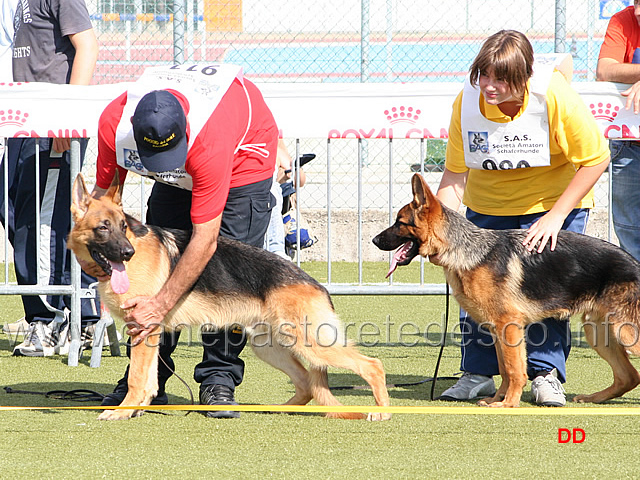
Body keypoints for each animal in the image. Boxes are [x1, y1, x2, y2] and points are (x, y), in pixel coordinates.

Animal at [66, 174, 390, 422]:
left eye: (123, 227)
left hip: (312, 345)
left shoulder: (145, 329)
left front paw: (123, 411)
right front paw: (136, 409)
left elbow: (137, 377)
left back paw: (383, 411)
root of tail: (316, 284)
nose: (127, 253)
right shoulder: (149, 335)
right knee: (307, 384)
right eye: (103, 227)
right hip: (270, 347)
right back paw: (276, 409)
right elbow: (148, 379)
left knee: (372, 365)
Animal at [372, 174, 640, 406]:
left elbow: (514, 369)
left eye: (399, 222)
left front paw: (508, 404)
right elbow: (504, 369)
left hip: (624, 332)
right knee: (628, 377)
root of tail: (635, 263)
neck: (467, 249)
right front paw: (496, 399)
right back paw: (593, 398)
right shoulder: (497, 330)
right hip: (598, 331)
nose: (374, 241)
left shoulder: (509, 326)